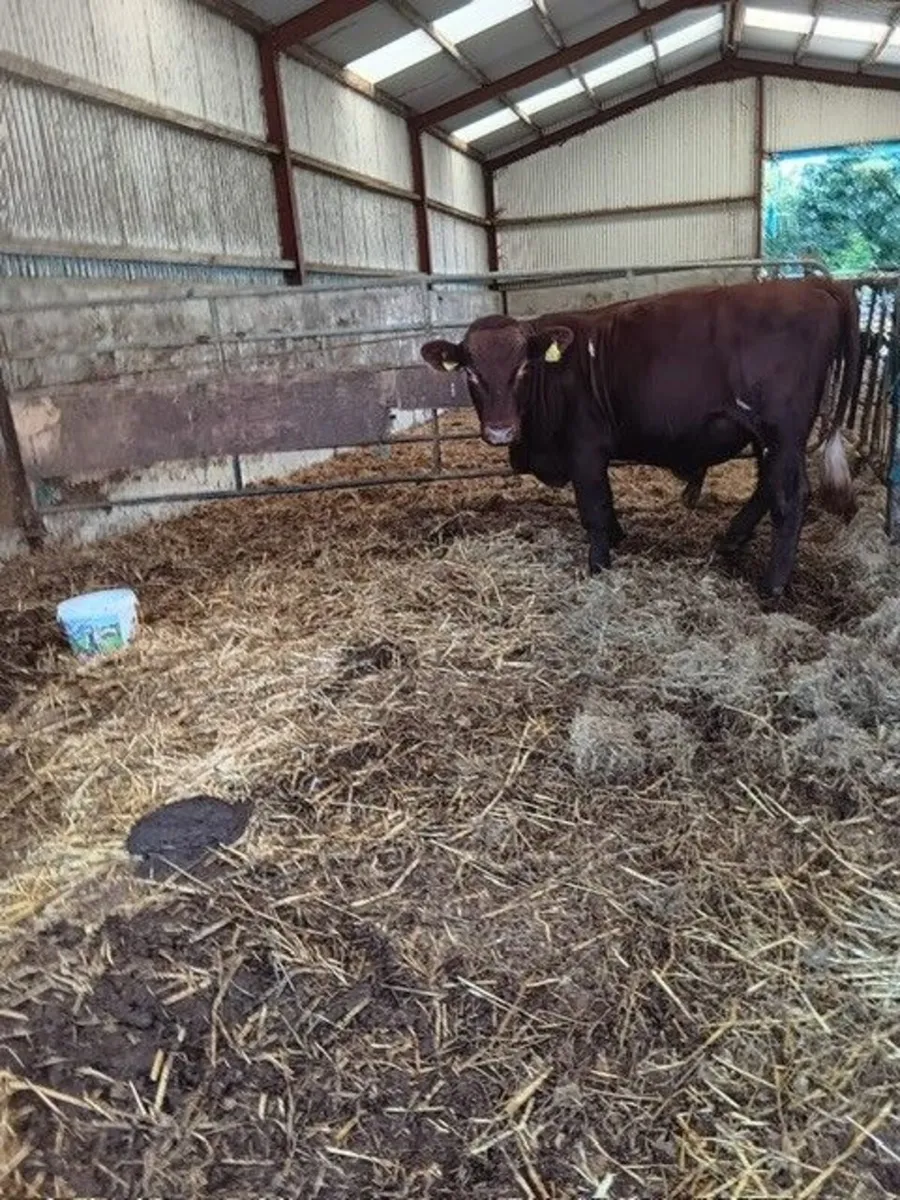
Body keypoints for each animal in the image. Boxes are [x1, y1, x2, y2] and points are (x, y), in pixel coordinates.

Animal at [421, 277, 859, 602]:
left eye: (523, 368)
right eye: (471, 372)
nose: (500, 430)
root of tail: (813, 284)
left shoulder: (585, 449)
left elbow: (594, 507)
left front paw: (598, 564)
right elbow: (606, 503)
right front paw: (617, 537)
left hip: (782, 431)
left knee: (790, 497)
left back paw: (773, 586)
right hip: (764, 437)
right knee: (766, 486)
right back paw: (732, 539)